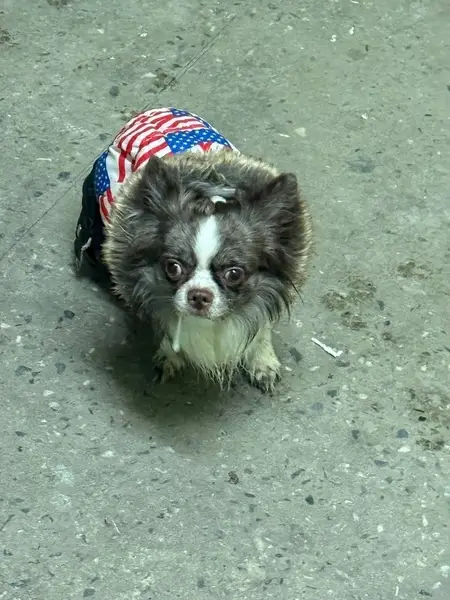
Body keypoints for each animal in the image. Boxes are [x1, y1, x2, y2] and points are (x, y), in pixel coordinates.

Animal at [74, 107, 313, 391]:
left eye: (234, 274)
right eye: (173, 267)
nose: (199, 295)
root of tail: (149, 112)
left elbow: (261, 328)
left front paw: (262, 361)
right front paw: (170, 355)